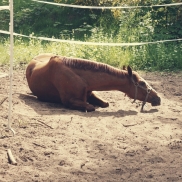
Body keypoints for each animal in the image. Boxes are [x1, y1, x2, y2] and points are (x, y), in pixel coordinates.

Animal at [26, 53, 161, 111]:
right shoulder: (69, 101)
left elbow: (105, 103)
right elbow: (90, 107)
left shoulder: (90, 93)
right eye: (142, 83)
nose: (158, 98)